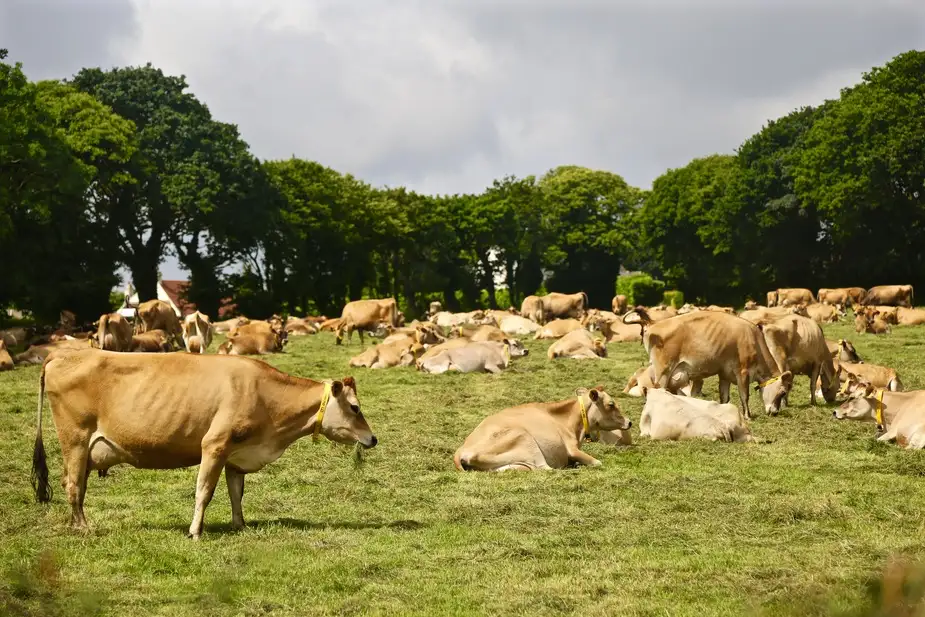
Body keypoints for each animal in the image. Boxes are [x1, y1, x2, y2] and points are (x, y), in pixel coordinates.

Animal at [31, 348, 376, 536]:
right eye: (355, 408)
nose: (373, 438)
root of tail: (62, 353)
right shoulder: (214, 444)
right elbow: (204, 492)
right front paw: (195, 531)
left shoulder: (237, 454)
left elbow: (237, 493)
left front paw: (240, 525)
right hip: (75, 438)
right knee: (73, 485)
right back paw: (83, 527)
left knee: (74, 484)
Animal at [452, 384, 632, 472]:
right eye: (611, 404)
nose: (629, 422)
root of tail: (461, 450)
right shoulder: (572, 449)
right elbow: (598, 462)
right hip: (525, 439)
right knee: (546, 469)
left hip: (510, 465)